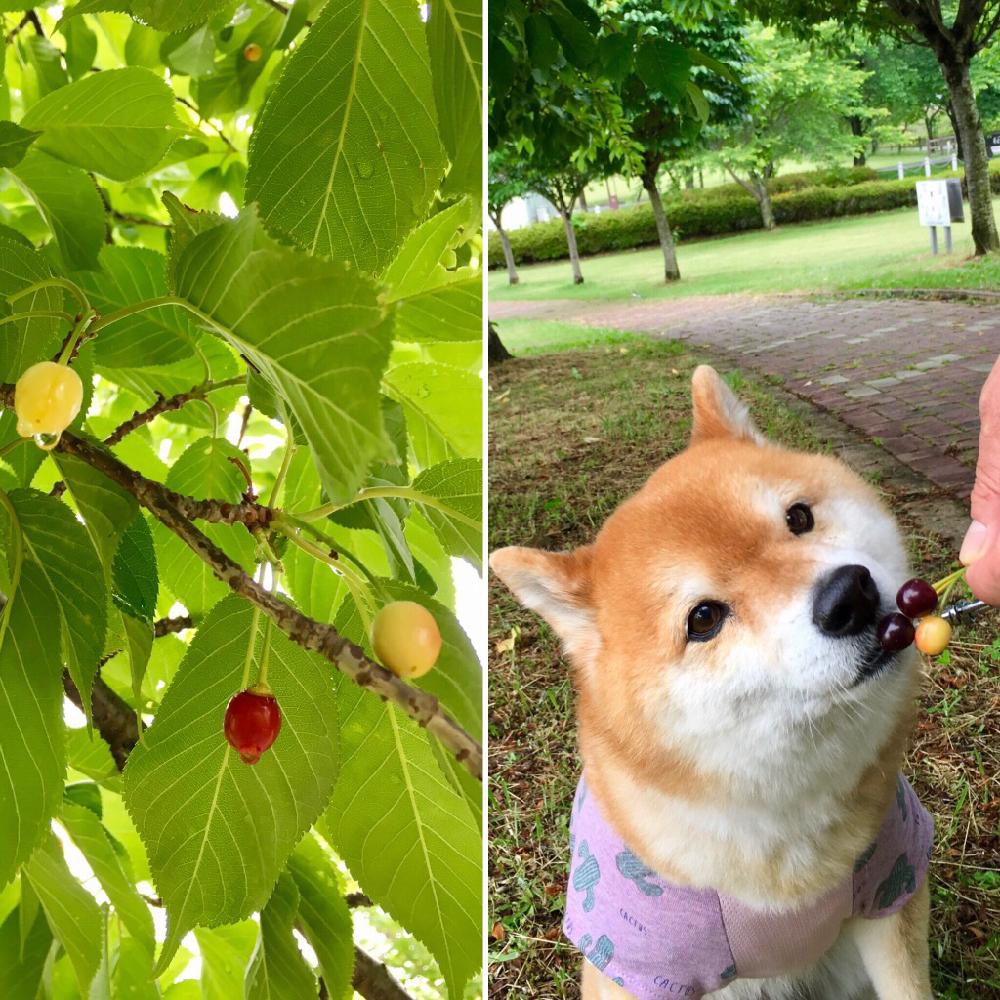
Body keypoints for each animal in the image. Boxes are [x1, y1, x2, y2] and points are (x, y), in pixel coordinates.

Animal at [490, 368, 928, 1000]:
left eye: (799, 518)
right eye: (703, 619)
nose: (850, 596)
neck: (782, 811)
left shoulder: (892, 882)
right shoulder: (641, 965)